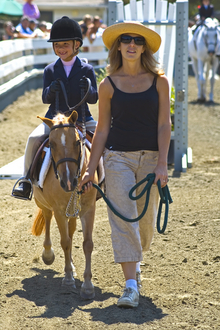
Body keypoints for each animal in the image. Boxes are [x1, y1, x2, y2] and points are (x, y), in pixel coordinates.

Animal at [31, 110, 98, 300]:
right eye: (52, 145)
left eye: (76, 142)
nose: (68, 182)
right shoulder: (59, 211)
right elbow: (65, 242)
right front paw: (68, 279)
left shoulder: (88, 209)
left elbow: (87, 244)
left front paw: (87, 285)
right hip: (43, 202)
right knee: (47, 218)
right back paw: (48, 254)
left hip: (74, 210)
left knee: (71, 229)